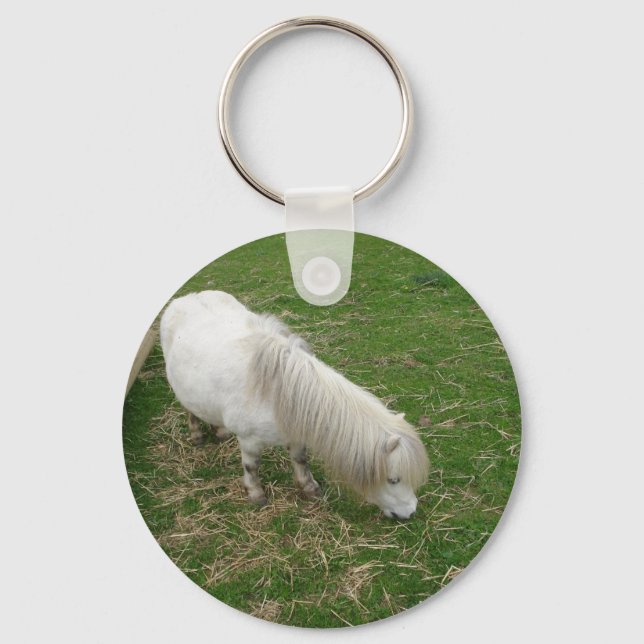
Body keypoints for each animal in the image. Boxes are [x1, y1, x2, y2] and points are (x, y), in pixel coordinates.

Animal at [160, 290, 429, 519]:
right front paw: (256, 495)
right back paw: (196, 435)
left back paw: (221, 431)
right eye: (393, 479)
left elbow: (300, 459)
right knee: (190, 409)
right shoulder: (249, 440)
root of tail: (185, 298)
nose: (410, 513)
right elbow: (251, 466)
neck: (279, 393)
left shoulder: (296, 433)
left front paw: (309, 488)